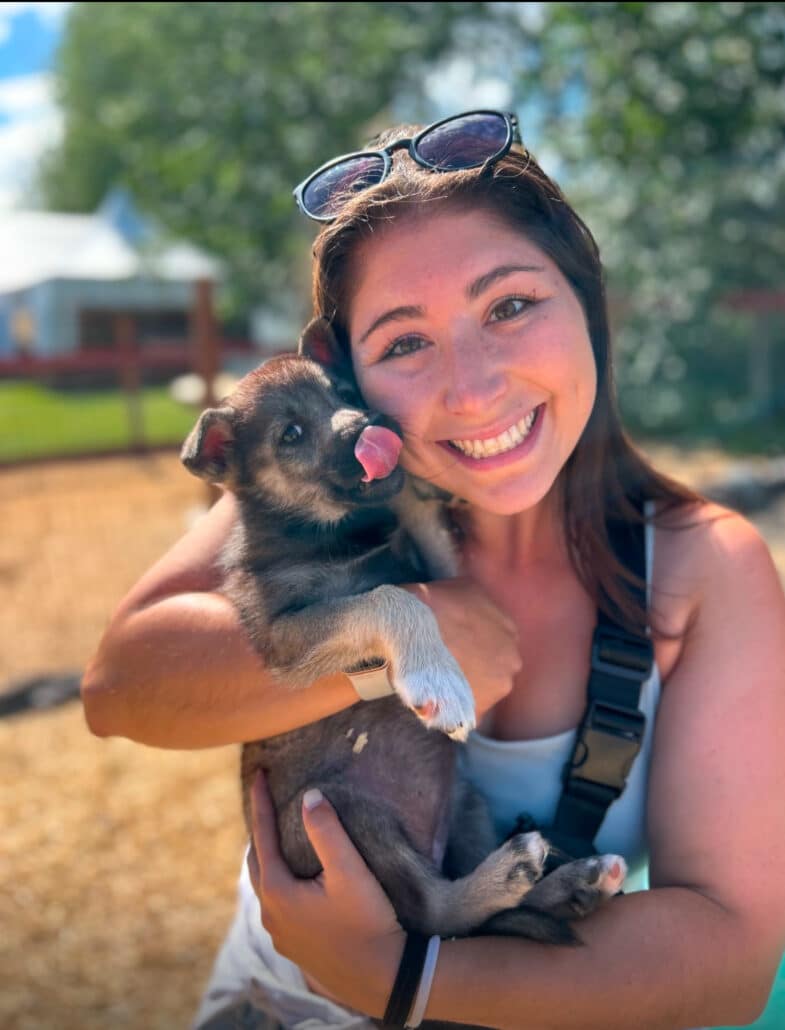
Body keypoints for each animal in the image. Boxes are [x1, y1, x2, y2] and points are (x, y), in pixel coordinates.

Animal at [179, 319, 622, 955]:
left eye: (345, 391)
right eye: (290, 434)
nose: (373, 429)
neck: (337, 532)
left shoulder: (438, 568)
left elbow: (417, 536)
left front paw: (413, 485)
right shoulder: (283, 634)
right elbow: (385, 599)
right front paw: (440, 680)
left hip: (464, 802)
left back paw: (571, 883)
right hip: (350, 815)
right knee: (436, 911)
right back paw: (514, 870)